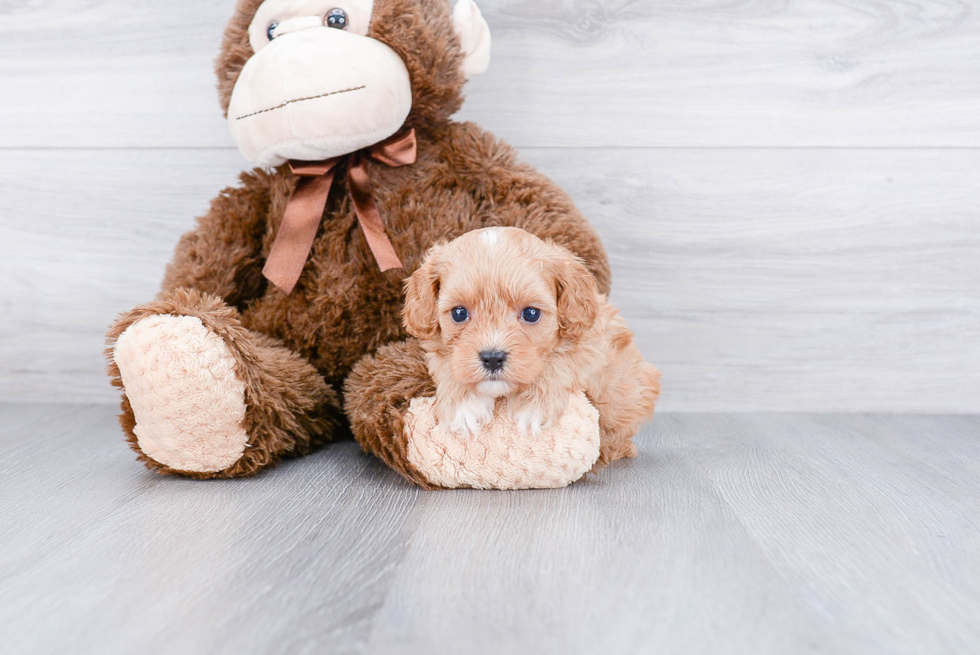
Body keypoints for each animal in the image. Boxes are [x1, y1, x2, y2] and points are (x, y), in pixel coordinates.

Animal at [402, 228, 664, 468]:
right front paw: (463, 403)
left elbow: (559, 361)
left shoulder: (592, 344)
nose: (493, 358)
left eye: (531, 313)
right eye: (459, 313)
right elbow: (449, 365)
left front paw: (532, 405)